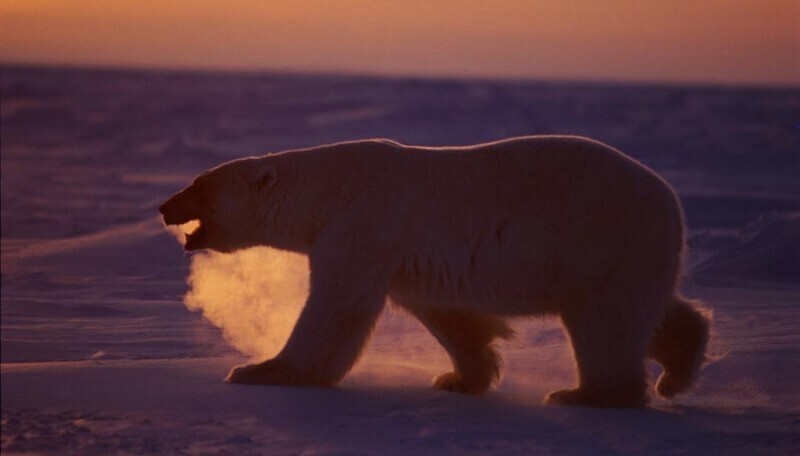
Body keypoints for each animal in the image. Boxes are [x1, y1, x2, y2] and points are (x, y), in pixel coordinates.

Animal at [159, 136, 708, 410]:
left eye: (198, 186)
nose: (165, 206)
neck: (331, 187)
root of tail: (673, 202)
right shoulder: (409, 257)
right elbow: (448, 314)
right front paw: (460, 378)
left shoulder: (362, 227)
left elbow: (336, 310)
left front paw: (261, 370)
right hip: (632, 252)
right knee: (652, 311)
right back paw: (677, 372)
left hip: (600, 238)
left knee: (605, 320)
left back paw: (588, 393)